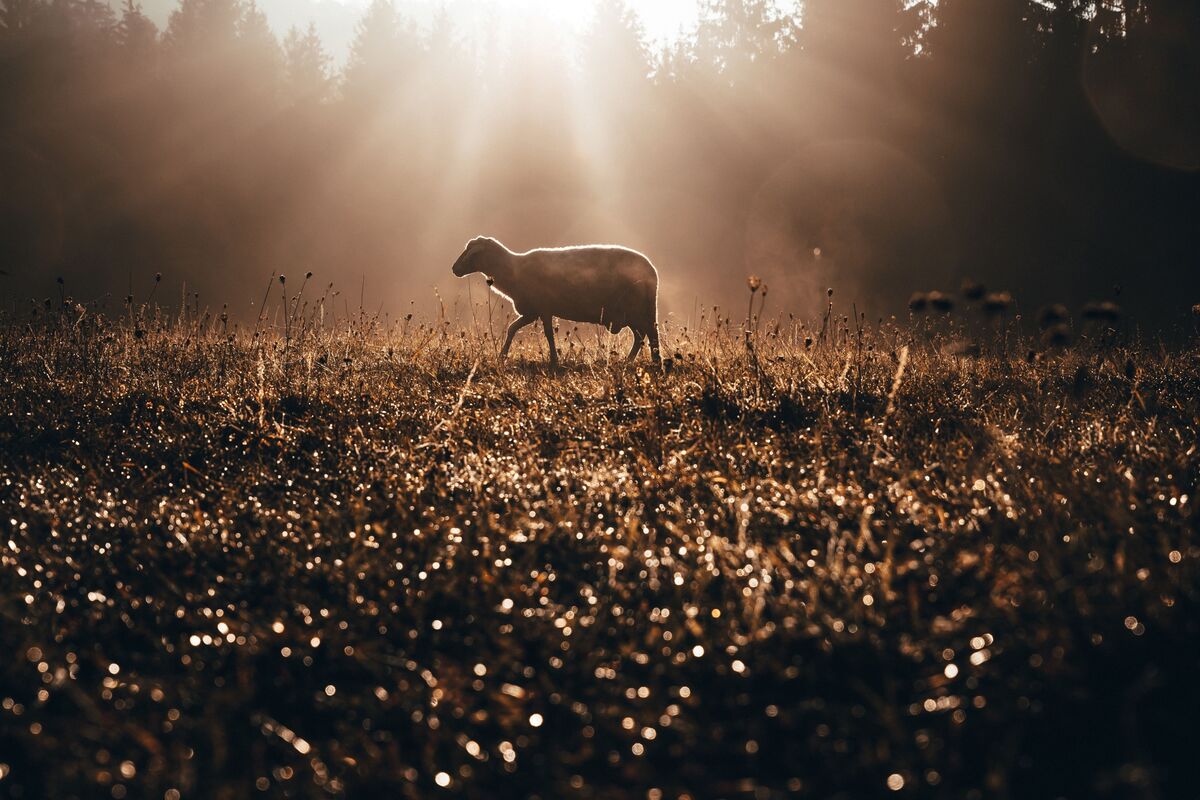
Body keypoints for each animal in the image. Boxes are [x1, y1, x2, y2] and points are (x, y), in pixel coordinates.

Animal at [451, 235, 662, 367]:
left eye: (470, 252)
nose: (454, 269)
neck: (513, 270)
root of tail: (652, 271)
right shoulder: (532, 311)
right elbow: (512, 329)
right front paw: (502, 356)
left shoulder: (543, 308)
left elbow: (548, 335)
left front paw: (553, 360)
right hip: (631, 313)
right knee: (641, 336)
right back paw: (632, 361)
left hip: (636, 309)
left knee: (650, 334)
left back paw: (655, 361)